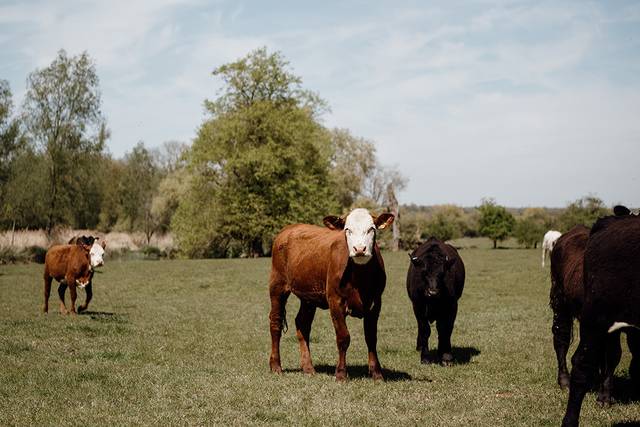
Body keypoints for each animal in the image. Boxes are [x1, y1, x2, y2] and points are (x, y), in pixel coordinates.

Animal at [268, 208, 394, 381]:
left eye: (371, 229)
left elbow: (371, 338)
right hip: (277, 286)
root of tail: (288, 229)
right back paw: (276, 366)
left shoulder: (376, 303)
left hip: (308, 296)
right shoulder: (335, 301)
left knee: (302, 324)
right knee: (275, 323)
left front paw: (377, 373)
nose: (359, 249)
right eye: (347, 229)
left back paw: (308, 368)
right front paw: (340, 374)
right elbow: (343, 337)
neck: (359, 279)